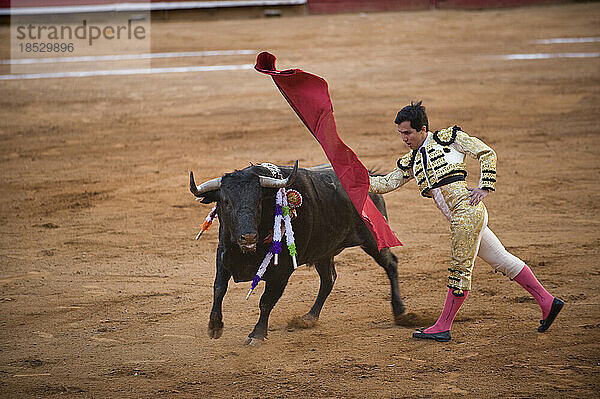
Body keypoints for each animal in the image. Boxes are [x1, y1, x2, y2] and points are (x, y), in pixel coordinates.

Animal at [190, 161, 406, 346]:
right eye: (226, 201)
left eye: (258, 201)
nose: (249, 237)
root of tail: (370, 178)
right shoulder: (223, 256)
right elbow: (219, 288)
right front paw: (215, 327)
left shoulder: (281, 273)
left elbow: (265, 302)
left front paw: (257, 335)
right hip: (324, 252)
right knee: (329, 279)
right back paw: (309, 318)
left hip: (374, 241)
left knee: (391, 264)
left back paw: (399, 311)